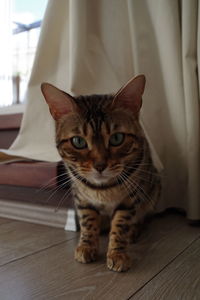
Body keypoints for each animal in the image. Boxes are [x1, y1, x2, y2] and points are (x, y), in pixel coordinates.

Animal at [41, 74, 161, 272]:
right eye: (78, 141)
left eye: (117, 138)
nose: (100, 165)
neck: (103, 189)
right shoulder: (82, 198)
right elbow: (88, 222)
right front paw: (86, 246)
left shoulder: (130, 199)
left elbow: (120, 225)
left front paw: (118, 254)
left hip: (153, 191)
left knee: (143, 218)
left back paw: (133, 231)